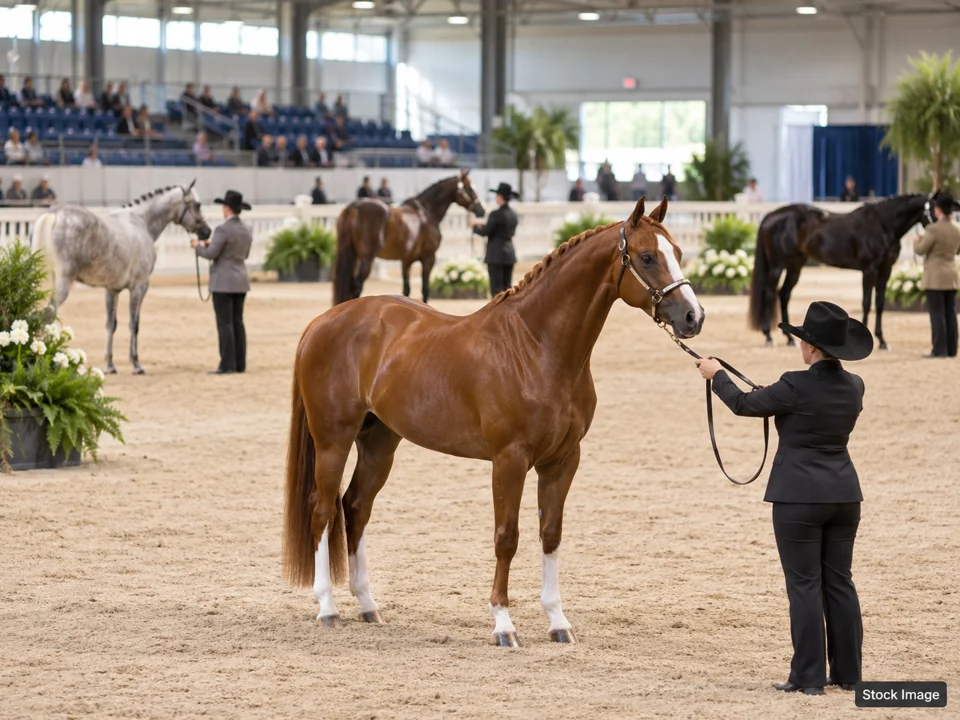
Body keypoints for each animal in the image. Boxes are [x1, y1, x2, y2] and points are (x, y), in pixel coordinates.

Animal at [31, 181, 211, 374]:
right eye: (197, 205)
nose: (207, 232)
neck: (141, 223)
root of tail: (53, 214)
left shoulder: (112, 290)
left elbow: (111, 324)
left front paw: (110, 364)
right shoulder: (139, 287)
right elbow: (134, 324)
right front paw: (136, 364)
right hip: (63, 282)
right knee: (48, 316)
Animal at [282, 196, 704, 646]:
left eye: (678, 253)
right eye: (647, 257)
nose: (693, 316)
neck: (536, 346)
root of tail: (322, 322)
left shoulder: (563, 461)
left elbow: (550, 534)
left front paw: (558, 621)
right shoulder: (509, 460)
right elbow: (507, 537)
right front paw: (503, 623)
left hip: (380, 443)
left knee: (355, 507)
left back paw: (368, 605)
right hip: (333, 440)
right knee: (322, 510)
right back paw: (327, 608)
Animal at [333, 169, 485, 305]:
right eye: (470, 189)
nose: (482, 210)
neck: (427, 212)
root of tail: (353, 207)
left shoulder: (406, 260)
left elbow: (406, 290)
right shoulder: (428, 258)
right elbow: (425, 289)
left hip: (353, 256)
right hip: (366, 259)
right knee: (356, 287)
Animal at [748, 192, 953, 349]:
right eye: (933, 210)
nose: (944, 226)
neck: (884, 226)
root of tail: (770, 216)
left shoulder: (885, 272)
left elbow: (879, 304)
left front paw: (882, 341)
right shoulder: (869, 270)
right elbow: (866, 303)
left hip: (795, 265)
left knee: (784, 294)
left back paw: (790, 338)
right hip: (777, 266)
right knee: (769, 293)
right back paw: (768, 336)